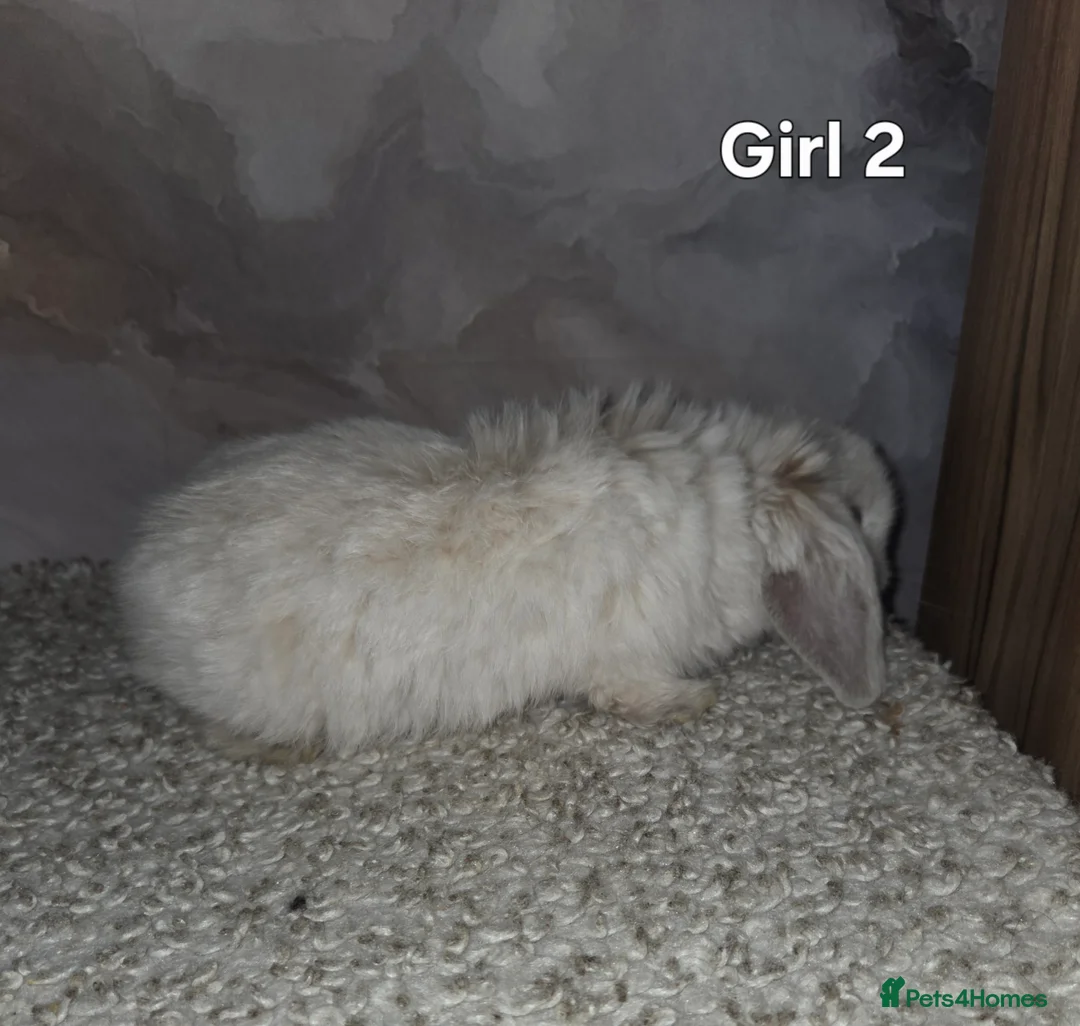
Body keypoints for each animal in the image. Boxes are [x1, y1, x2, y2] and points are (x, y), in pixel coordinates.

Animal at [116, 382, 897, 761]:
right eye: (864, 517)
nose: (889, 581)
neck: (738, 506)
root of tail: (135, 580)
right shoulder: (627, 654)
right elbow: (628, 694)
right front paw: (692, 702)